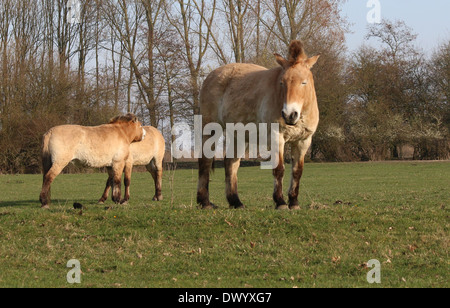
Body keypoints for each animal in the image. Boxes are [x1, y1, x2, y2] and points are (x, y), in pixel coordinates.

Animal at [197, 41, 320, 209]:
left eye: (304, 82)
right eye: (282, 83)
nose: (289, 114)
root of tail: (211, 76)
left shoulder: (303, 141)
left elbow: (297, 171)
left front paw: (294, 202)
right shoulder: (276, 137)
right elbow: (279, 169)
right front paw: (281, 202)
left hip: (239, 135)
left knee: (231, 163)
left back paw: (236, 202)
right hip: (210, 128)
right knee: (205, 161)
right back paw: (205, 202)